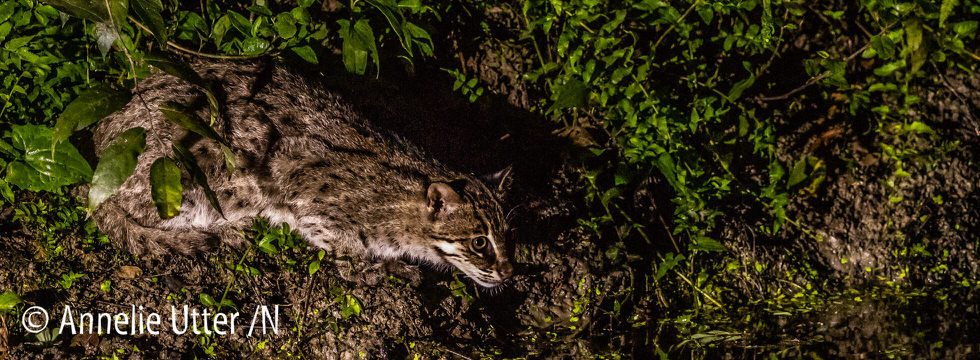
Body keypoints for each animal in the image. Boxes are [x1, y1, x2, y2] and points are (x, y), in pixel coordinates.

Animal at [91, 60, 512, 288]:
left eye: (505, 236)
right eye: (479, 243)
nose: (509, 273)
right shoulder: (313, 206)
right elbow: (349, 252)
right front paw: (380, 268)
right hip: (197, 171)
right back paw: (227, 228)